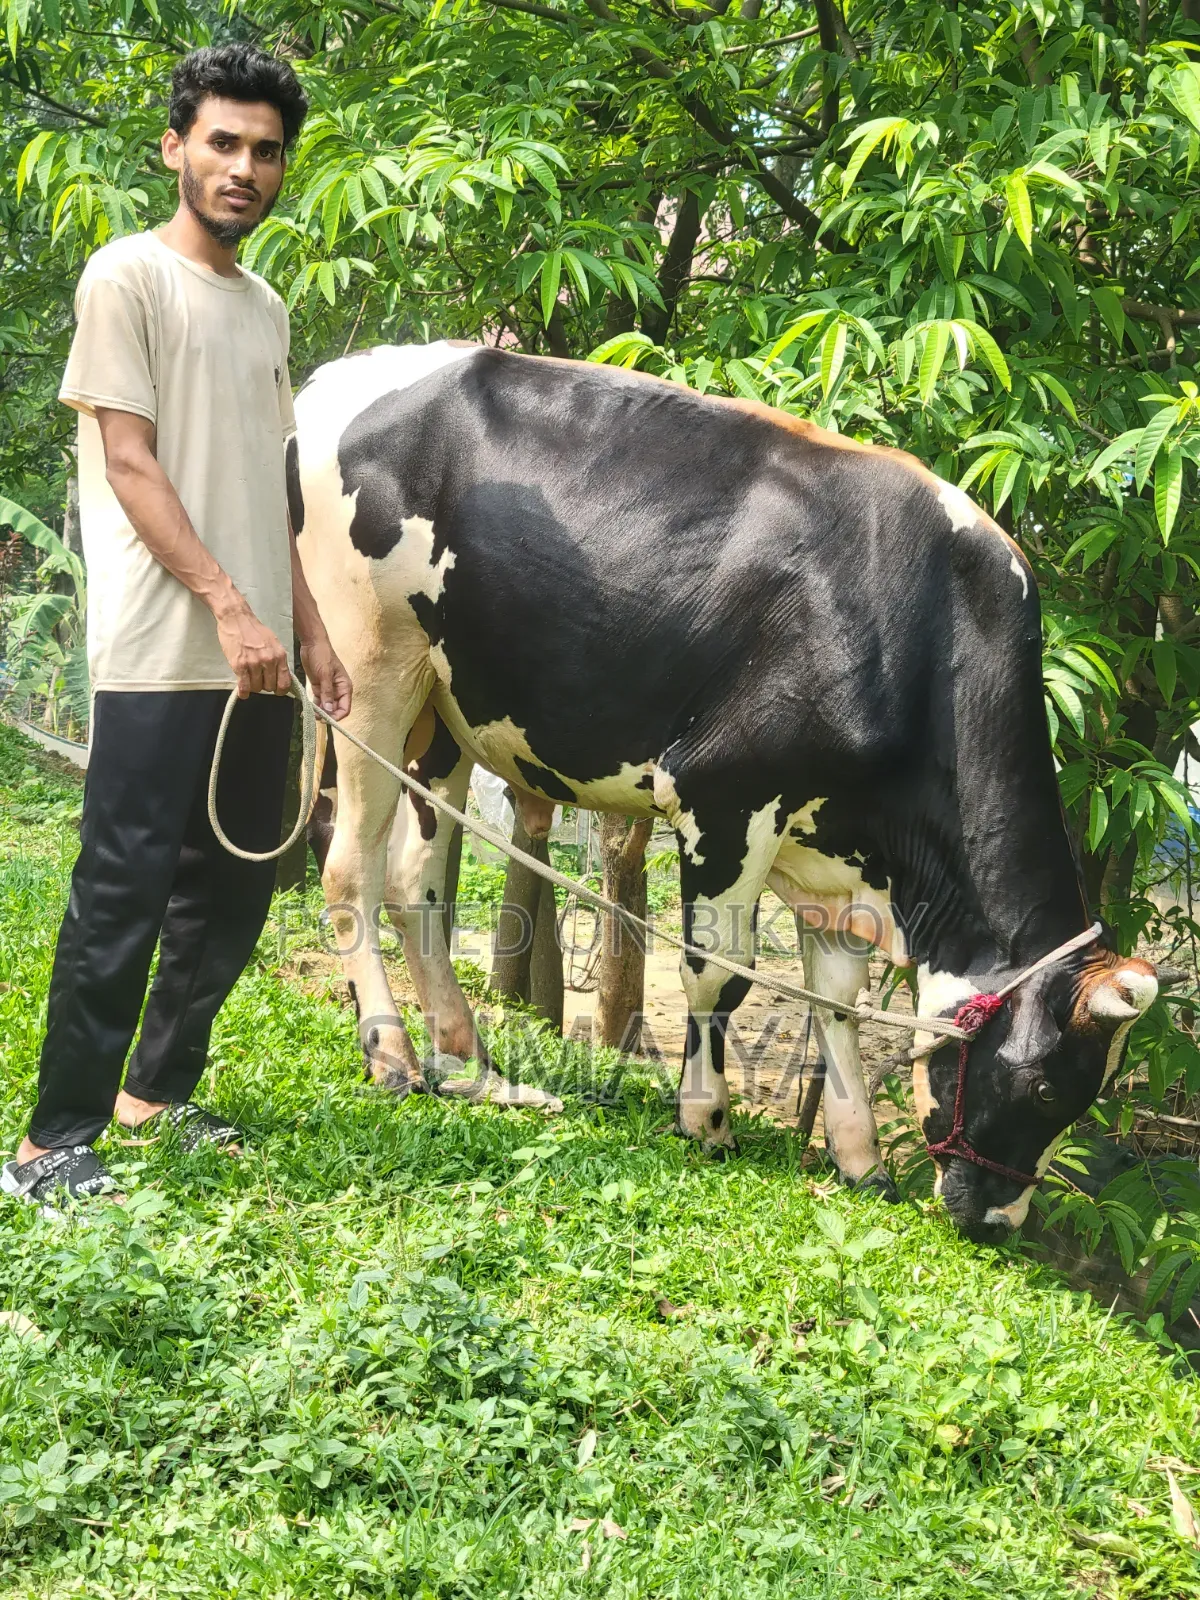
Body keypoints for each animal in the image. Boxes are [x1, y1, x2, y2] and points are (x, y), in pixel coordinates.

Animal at [287, 341, 1159, 1245]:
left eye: (1083, 1096)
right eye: (1048, 1087)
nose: (997, 1221)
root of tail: (336, 377)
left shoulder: (839, 854)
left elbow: (835, 1002)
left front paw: (860, 1160)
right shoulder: (727, 793)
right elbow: (722, 973)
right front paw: (704, 1120)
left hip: (443, 710)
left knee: (414, 882)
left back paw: (473, 1062)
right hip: (368, 669)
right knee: (349, 867)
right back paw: (391, 1054)